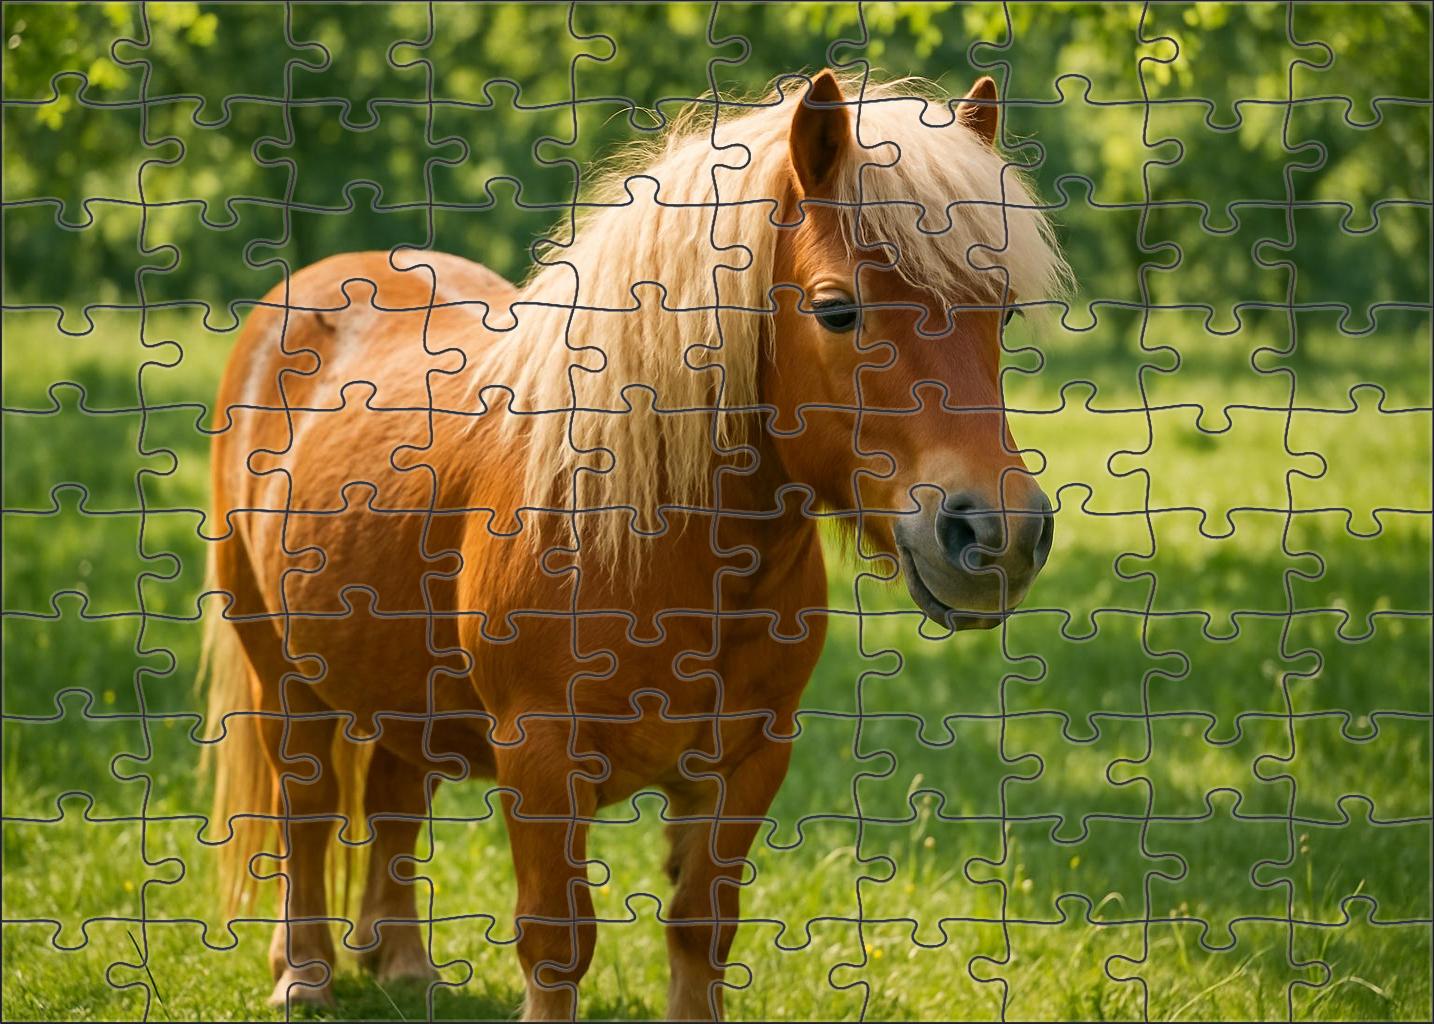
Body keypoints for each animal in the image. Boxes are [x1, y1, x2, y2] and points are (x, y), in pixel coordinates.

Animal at [203, 69, 1067, 1020]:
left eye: (1004, 313)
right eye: (839, 311)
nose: (998, 532)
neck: (659, 547)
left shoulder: (749, 759)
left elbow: (699, 927)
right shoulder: (540, 758)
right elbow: (556, 942)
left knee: (395, 795)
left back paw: (400, 963)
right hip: (279, 668)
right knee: (308, 806)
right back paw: (304, 972)